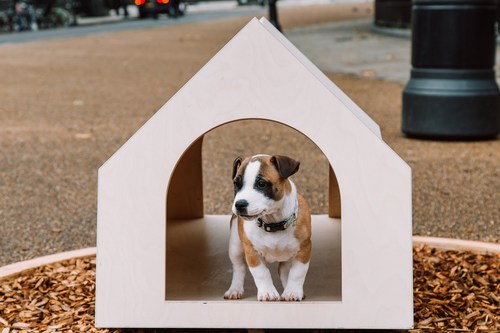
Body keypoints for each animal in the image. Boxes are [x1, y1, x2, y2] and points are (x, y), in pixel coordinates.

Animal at [224, 153, 310, 300]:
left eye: (261, 184)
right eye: (236, 183)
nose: (239, 204)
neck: (273, 222)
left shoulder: (304, 250)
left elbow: (297, 273)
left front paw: (292, 292)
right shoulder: (252, 252)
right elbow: (262, 273)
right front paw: (268, 292)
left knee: (283, 270)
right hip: (235, 247)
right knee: (239, 267)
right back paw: (235, 289)